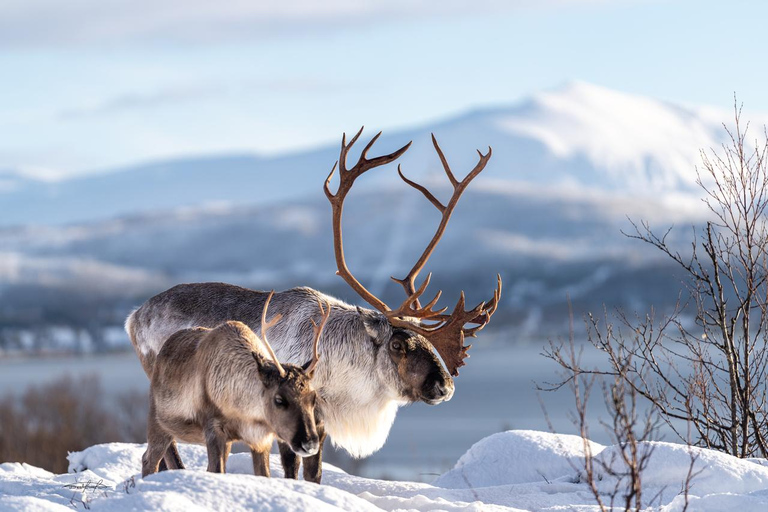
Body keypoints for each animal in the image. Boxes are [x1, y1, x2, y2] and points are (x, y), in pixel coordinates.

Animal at [142, 291, 330, 478]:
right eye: (279, 399)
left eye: (313, 398)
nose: (309, 443)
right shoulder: (214, 430)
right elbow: (217, 470)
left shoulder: (260, 441)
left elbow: (263, 474)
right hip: (158, 422)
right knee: (148, 459)